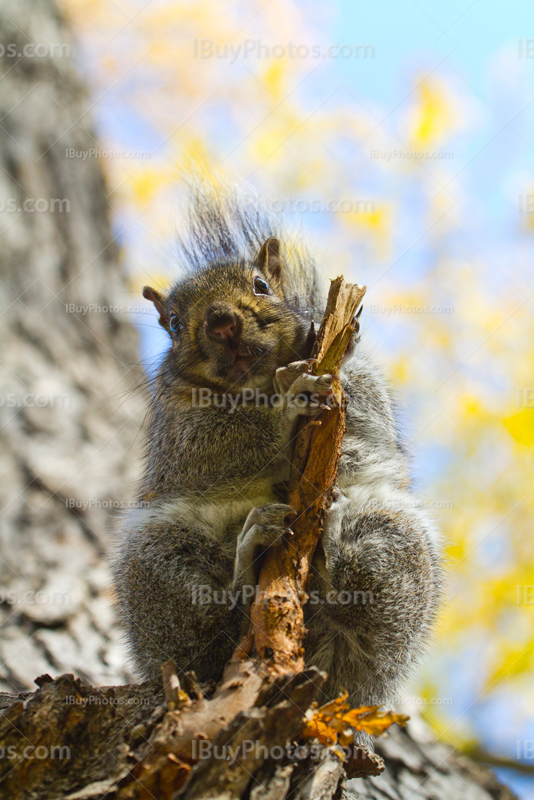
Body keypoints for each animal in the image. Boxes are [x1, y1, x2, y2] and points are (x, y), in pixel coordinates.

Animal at [111, 189, 442, 712]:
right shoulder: (175, 429)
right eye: (175, 325)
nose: (221, 321)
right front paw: (286, 404)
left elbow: (367, 410)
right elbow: (212, 443)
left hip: (397, 536)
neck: (258, 381)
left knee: (359, 605)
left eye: (262, 285)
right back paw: (249, 558)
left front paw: (334, 349)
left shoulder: (365, 402)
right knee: (213, 623)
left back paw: (334, 544)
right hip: (157, 559)